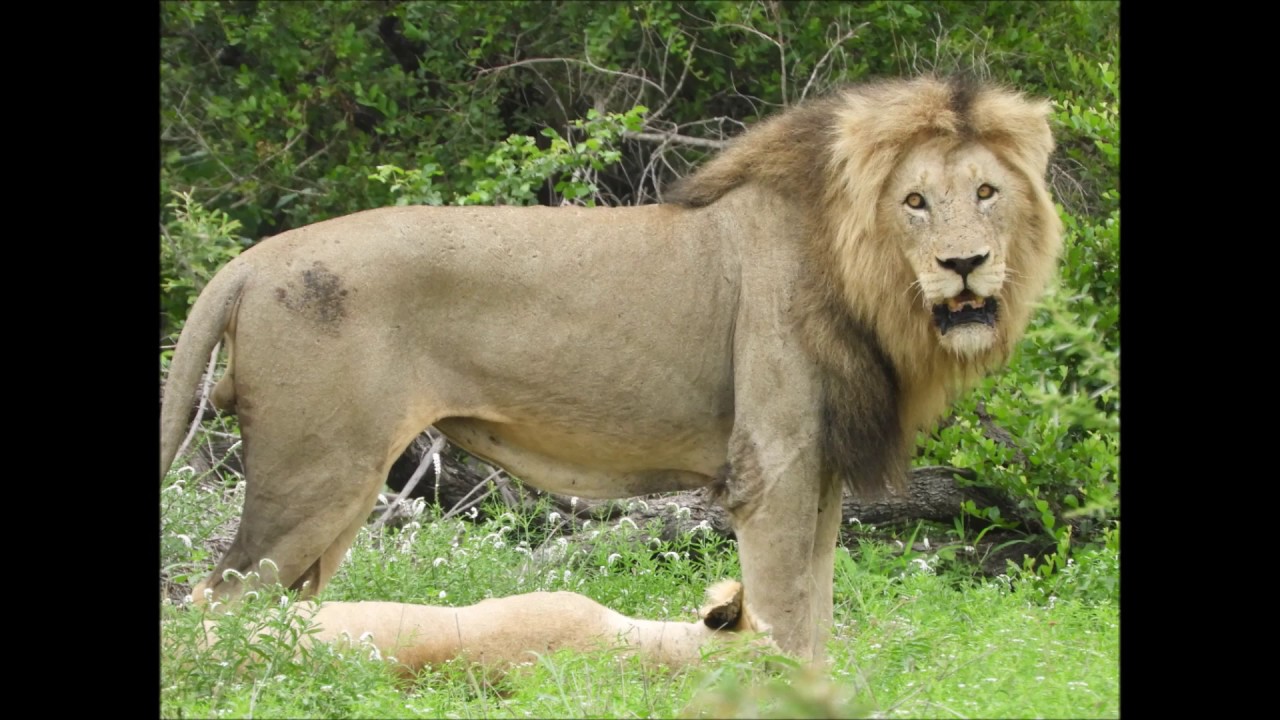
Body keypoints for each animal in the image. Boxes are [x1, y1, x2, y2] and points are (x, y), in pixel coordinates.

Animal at [160, 76, 1062, 662]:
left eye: (986, 192)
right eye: (914, 202)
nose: (964, 265)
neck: (865, 280)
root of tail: (255, 257)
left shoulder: (823, 472)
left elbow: (816, 614)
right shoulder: (771, 469)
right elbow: (783, 615)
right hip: (316, 474)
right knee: (217, 602)